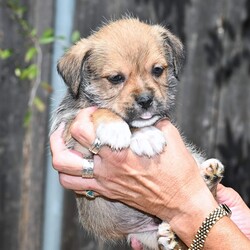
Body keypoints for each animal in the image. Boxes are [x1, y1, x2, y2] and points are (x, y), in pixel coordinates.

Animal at [51, 18, 225, 250]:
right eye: (116, 78)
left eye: (157, 70)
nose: (145, 100)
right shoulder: (69, 128)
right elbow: (100, 110)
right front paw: (120, 129)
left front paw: (144, 133)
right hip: (143, 236)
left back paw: (208, 176)